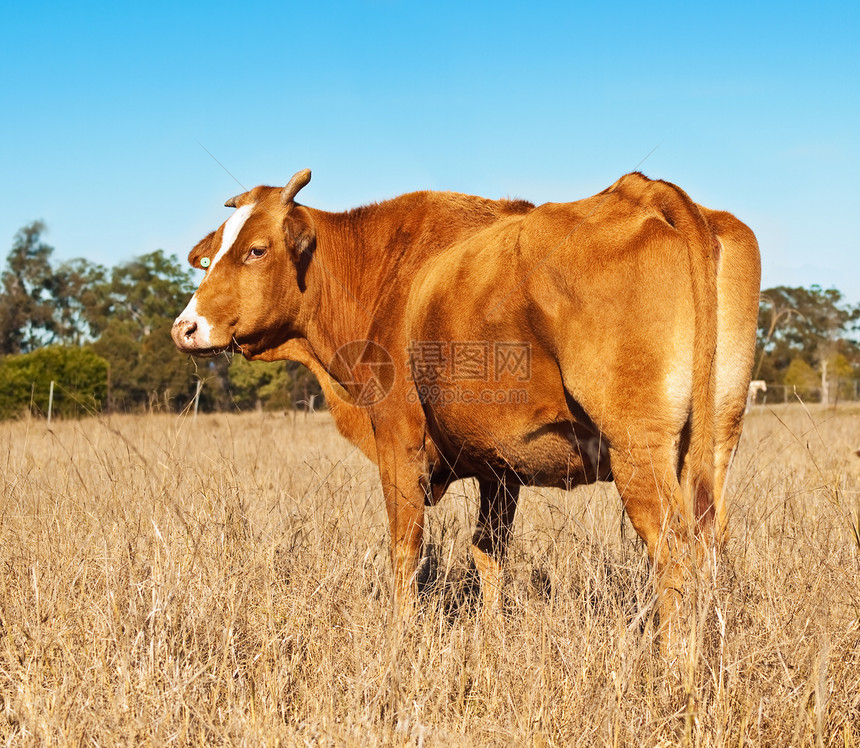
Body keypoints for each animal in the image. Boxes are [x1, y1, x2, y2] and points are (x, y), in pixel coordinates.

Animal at [173, 171, 760, 632]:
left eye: (256, 249)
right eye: (211, 258)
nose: (186, 327)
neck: (383, 273)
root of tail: (644, 189)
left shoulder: (398, 438)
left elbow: (406, 548)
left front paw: (401, 635)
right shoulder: (500, 467)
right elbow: (488, 552)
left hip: (638, 447)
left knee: (673, 549)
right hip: (715, 442)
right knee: (710, 539)